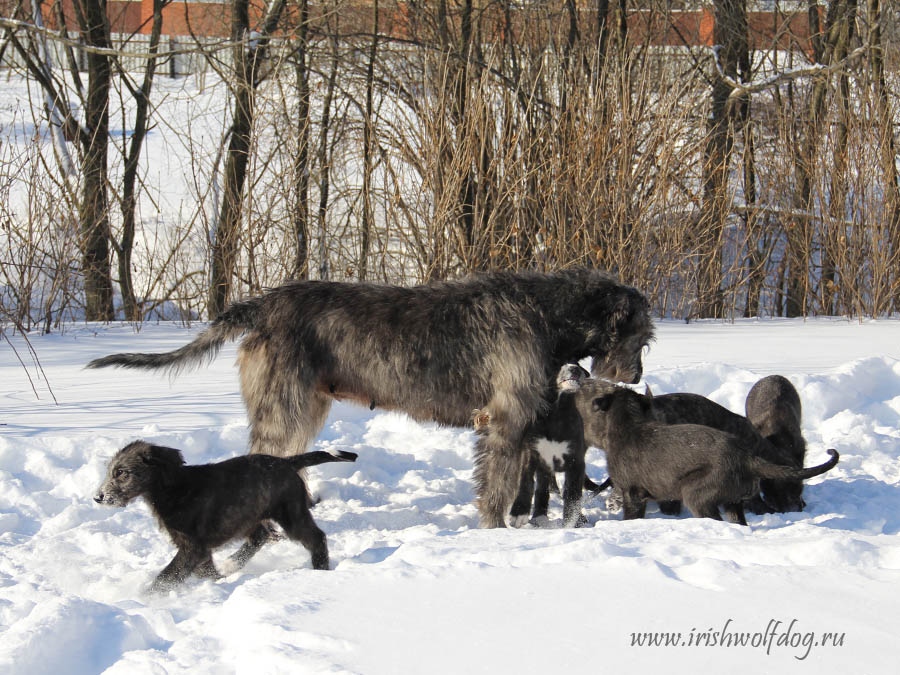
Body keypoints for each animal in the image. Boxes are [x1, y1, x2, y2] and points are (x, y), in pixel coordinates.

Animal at [88, 270, 652, 528]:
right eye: (642, 336)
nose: (637, 373)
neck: (546, 313)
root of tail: (262, 305)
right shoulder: (504, 419)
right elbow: (497, 485)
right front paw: (495, 530)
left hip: (307, 404)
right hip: (285, 402)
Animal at [94, 438, 356, 592]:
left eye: (122, 473)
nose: (98, 497)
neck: (173, 488)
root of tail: (287, 462)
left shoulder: (192, 548)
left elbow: (165, 578)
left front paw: (145, 599)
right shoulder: (198, 550)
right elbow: (205, 571)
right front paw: (219, 581)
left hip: (290, 513)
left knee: (316, 537)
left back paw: (320, 570)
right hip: (247, 514)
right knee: (260, 536)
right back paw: (231, 564)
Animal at [572, 388, 840, 524]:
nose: (798, 505)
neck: (629, 424)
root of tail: (747, 458)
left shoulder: (633, 494)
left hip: (696, 495)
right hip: (732, 502)